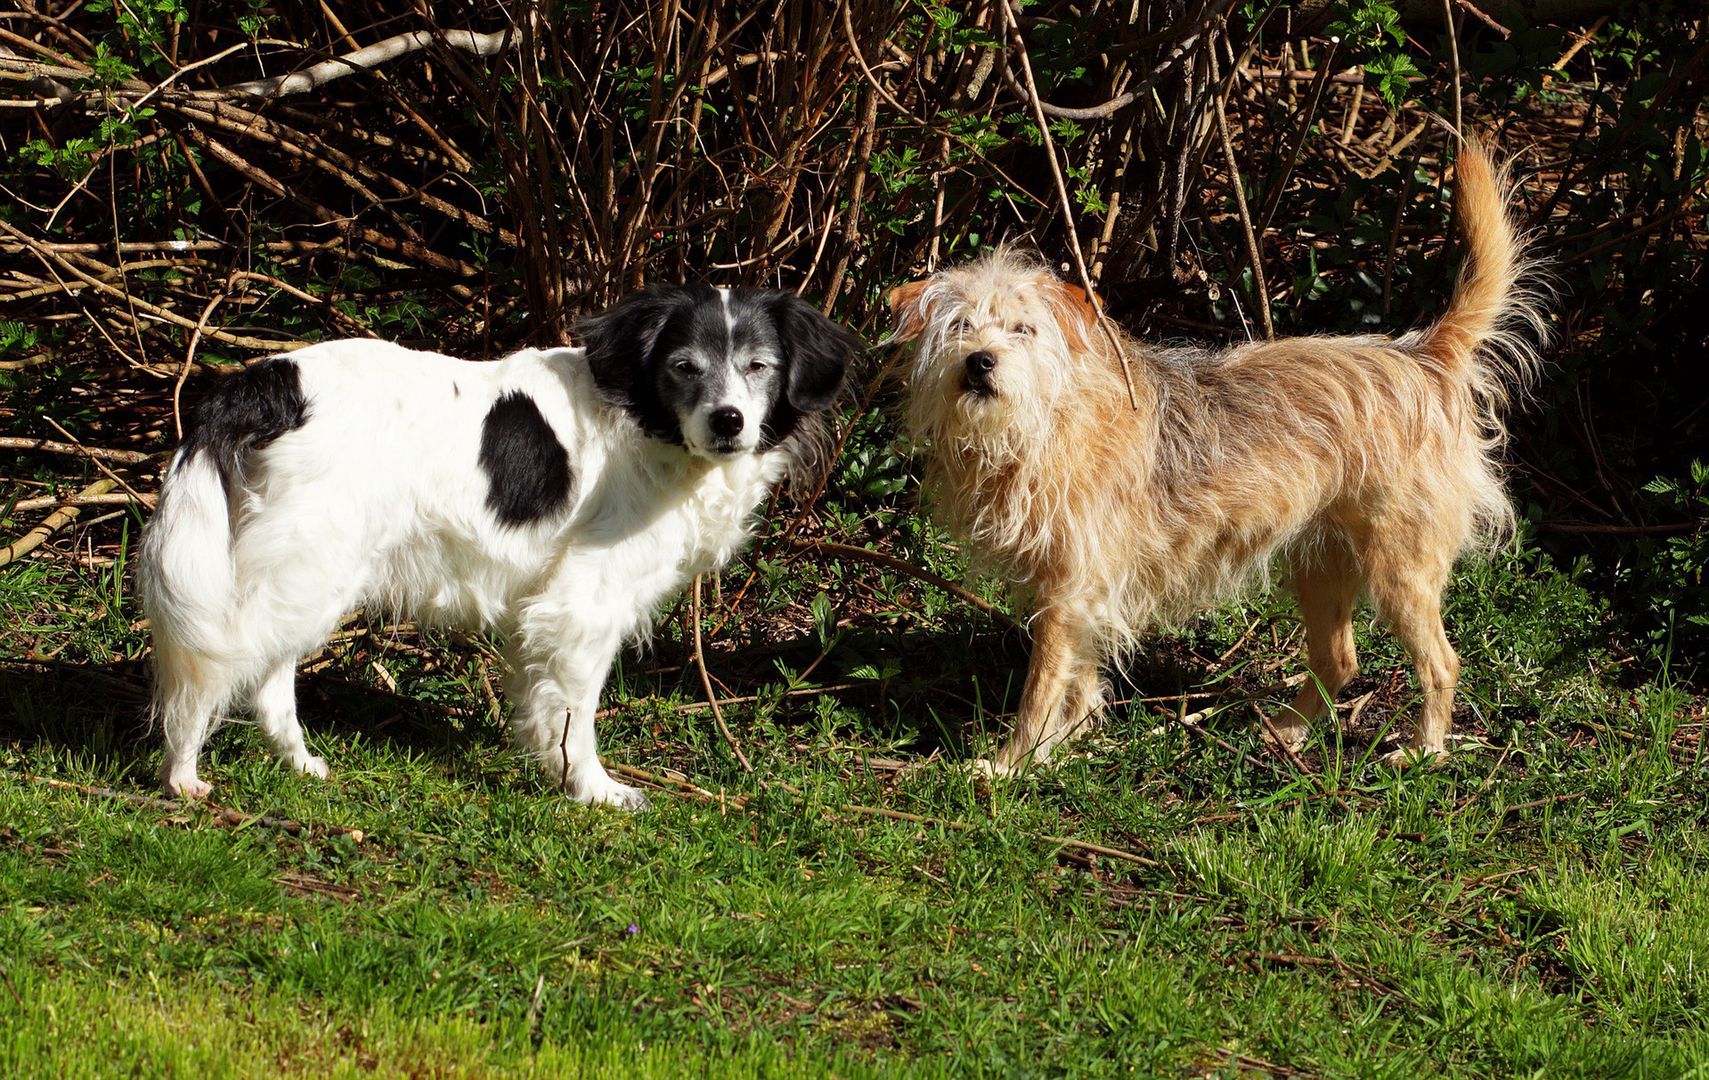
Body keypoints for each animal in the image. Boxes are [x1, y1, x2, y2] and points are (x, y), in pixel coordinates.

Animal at [136, 287, 854, 810]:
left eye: (759, 367)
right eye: (684, 368)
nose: (728, 421)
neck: (646, 422)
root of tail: (267, 379)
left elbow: (541, 706)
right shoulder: (581, 606)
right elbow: (575, 716)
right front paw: (591, 789)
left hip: (307, 571)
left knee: (268, 678)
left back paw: (300, 763)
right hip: (306, 565)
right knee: (212, 671)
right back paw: (182, 773)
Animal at [895, 143, 1551, 772]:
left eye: (1023, 329)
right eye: (959, 326)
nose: (979, 361)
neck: (1043, 422)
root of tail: (1423, 358)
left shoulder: (1069, 592)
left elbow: (1040, 689)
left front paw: (1012, 764)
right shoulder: (1083, 595)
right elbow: (1079, 678)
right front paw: (1070, 742)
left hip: (1400, 572)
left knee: (1441, 663)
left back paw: (1423, 751)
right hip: (1320, 565)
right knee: (1338, 660)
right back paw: (1288, 732)